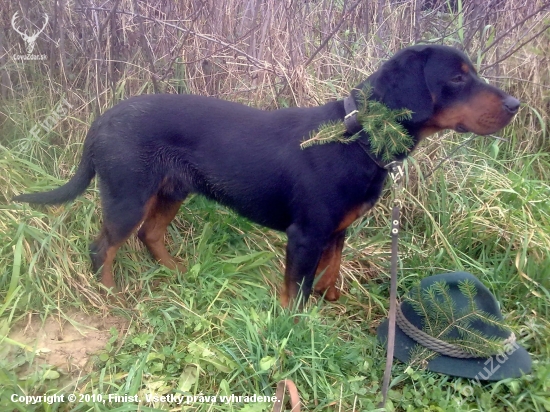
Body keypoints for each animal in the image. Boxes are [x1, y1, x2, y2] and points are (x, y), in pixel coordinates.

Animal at [14, 45, 520, 306]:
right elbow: (294, 291)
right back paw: (110, 296)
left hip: (171, 191)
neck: (355, 136)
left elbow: (330, 274)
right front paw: (294, 328)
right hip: (127, 196)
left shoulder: (336, 231)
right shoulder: (305, 235)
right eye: (457, 78)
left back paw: (179, 273)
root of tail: (100, 121)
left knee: (150, 235)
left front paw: (328, 307)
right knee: (103, 246)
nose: (516, 105)